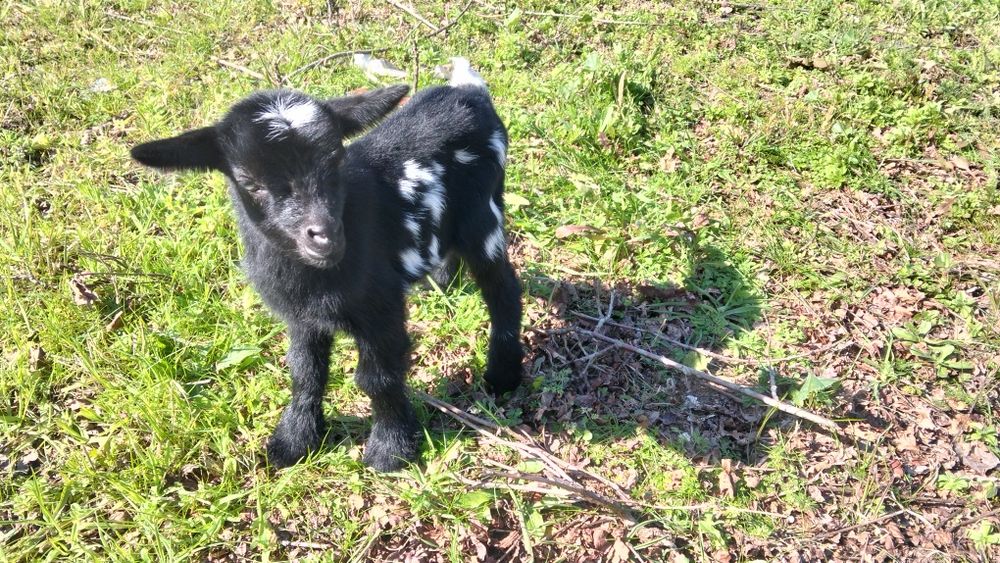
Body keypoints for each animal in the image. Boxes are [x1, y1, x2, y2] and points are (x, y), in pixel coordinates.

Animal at [130, 58, 523, 471]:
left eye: (335, 160)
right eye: (250, 183)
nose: (326, 235)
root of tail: (469, 91)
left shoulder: (380, 309)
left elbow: (377, 378)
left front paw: (390, 449)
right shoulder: (301, 317)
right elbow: (305, 373)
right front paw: (293, 441)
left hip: (483, 217)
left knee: (503, 290)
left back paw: (503, 373)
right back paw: (441, 282)